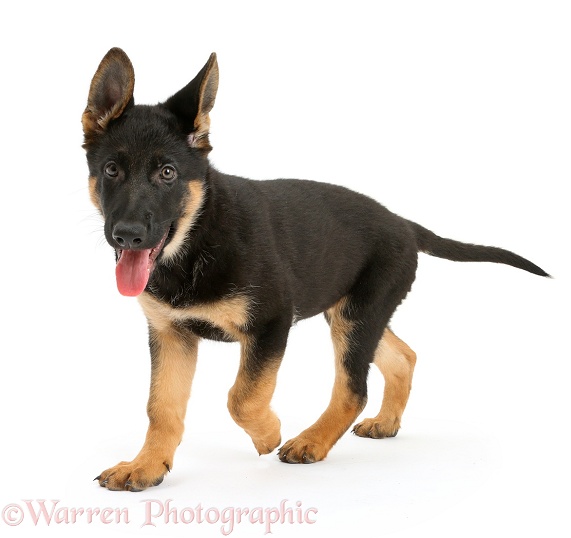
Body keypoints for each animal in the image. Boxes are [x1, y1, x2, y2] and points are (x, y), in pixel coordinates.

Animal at [81, 48, 548, 488]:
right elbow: (161, 407)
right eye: (111, 169)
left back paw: (311, 441)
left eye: (167, 173)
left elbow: (242, 396)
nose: (127, 236)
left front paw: (268, 434)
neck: (196, 238)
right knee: (403, 357)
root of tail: (402, 223)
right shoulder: (170, 334)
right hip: (352, 312)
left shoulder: (271, 323)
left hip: (356, 316)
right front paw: (146, 466)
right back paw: (386, 423)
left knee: (353, 389)